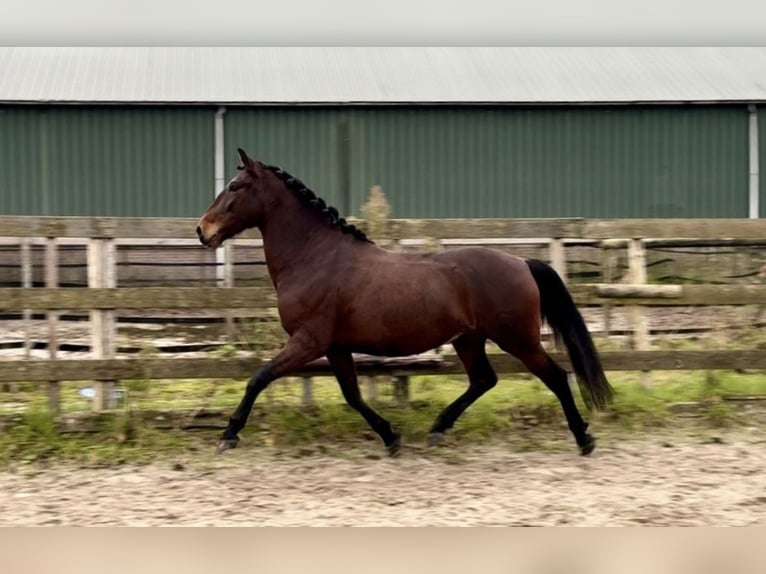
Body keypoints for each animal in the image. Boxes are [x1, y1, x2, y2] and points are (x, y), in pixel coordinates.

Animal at [200, 148, 616, 460]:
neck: (315, 257)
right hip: (469, 339)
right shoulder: (335, 347)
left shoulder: (308, 342)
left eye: (235, 186)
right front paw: (391, 437)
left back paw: (584, 439)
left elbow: (258, 378)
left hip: (517, 339)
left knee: (555, 377)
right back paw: (438, 429)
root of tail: (521, 261)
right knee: (484, 380)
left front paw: (228, 435)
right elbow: (352, 395)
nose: (203, 230)